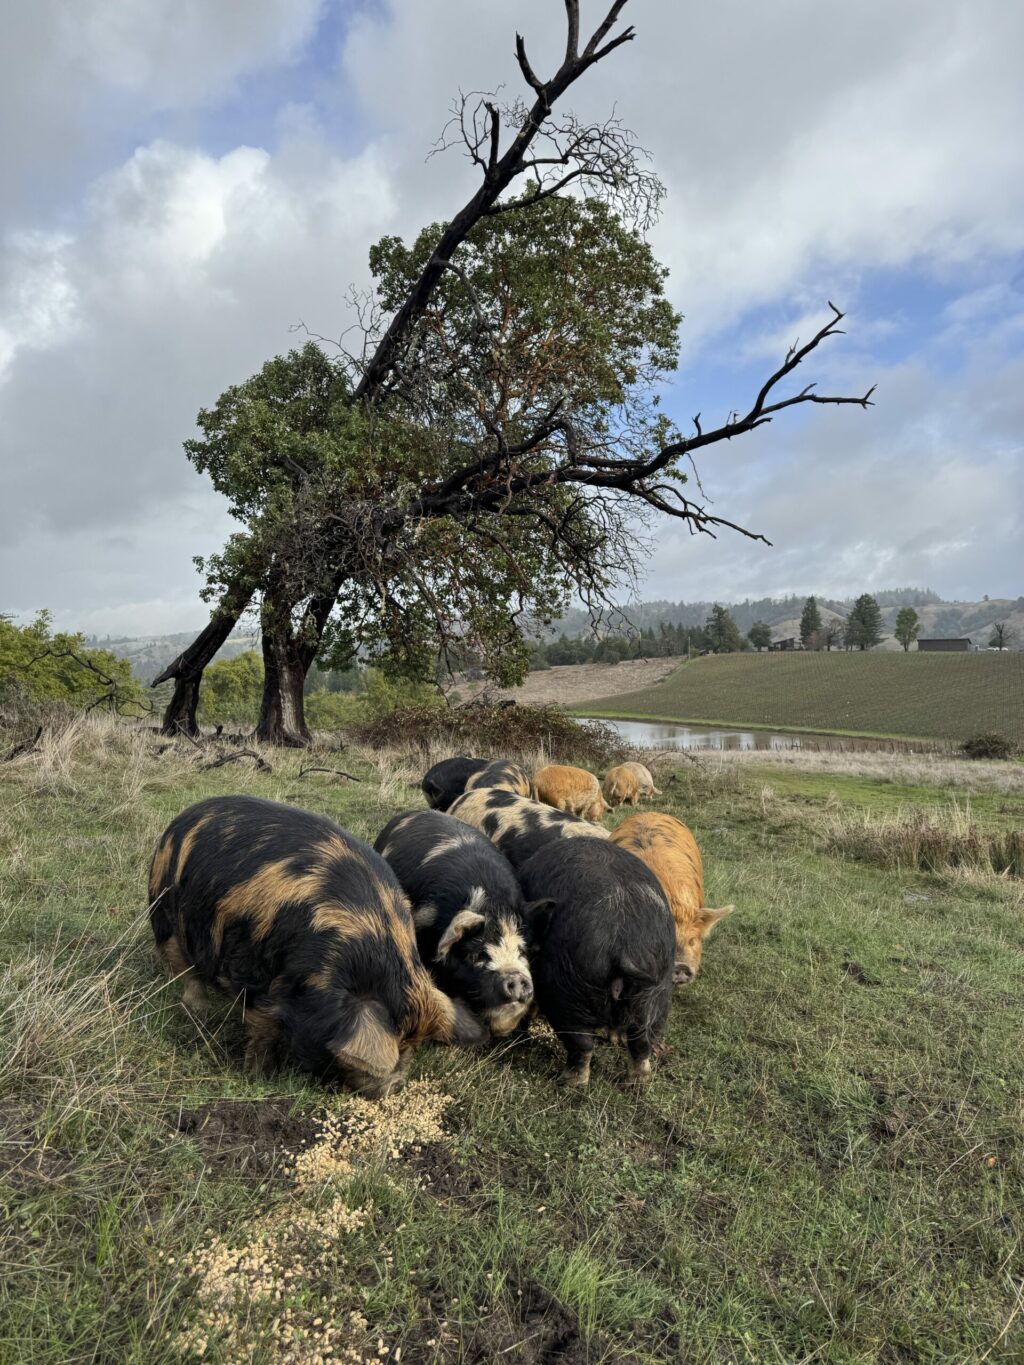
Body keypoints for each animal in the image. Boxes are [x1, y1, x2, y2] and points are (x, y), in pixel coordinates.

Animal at [148, 795, 485, 1097]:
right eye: (396, 1046)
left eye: (410, 1045)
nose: (393, 1088)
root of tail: (180, 820)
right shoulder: (259, 978)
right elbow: (263, 1029)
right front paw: (259, 1078)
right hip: (164, 915)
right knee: (184, 969)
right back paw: (198, 1011)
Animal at [518, 838, 675, 1087]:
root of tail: (623, 946)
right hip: (658, 989)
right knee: (642, 1041)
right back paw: (636, 1083)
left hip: (567, 987)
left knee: (581, 1043)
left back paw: (569, 1083)